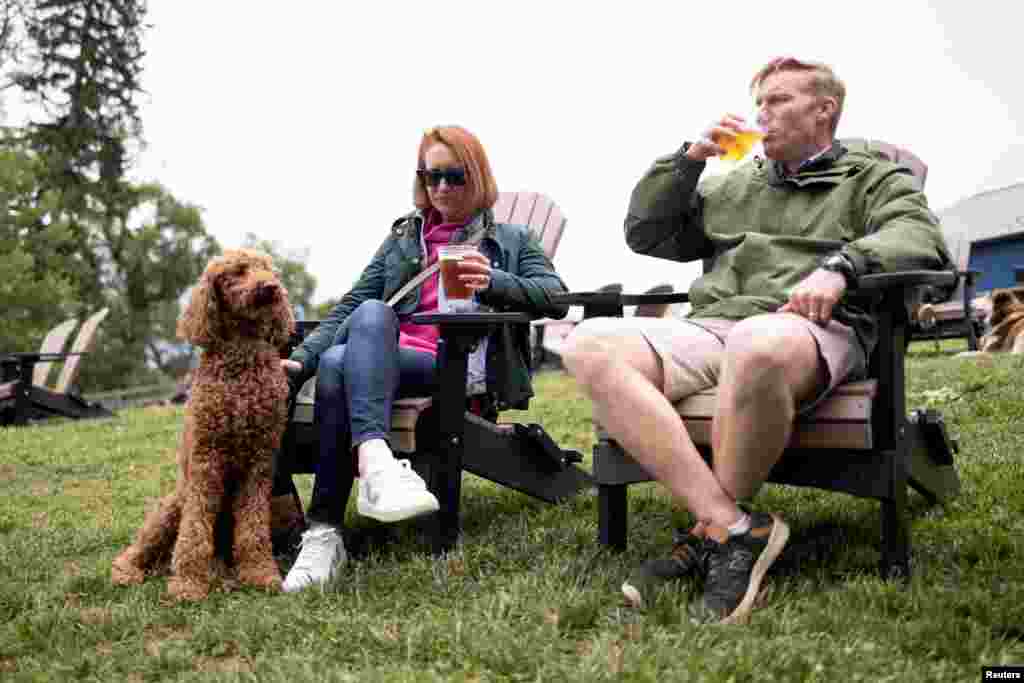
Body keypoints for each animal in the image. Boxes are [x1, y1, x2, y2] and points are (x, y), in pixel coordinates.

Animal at [113, 248, 296, 602]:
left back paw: (222, 574)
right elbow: (194, 532)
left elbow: (253, 529)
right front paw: (187, 584)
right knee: (138, 549)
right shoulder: (205, 462)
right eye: (237, 271)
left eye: (268, 269)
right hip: (171, 508)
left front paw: (260, 573)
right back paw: (128, 572)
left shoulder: (259, 465)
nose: (270, 287)